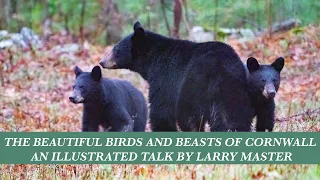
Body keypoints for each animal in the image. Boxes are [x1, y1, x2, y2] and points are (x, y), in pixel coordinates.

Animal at [99, 21, 254, 132]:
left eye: (115, 49)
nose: (101, 62)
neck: (151, 59)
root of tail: (221, 67)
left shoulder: (165, 76)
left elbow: (161, 108)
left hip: (194, 85)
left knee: (189, 116)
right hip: (235, 89)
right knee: (234, 116)